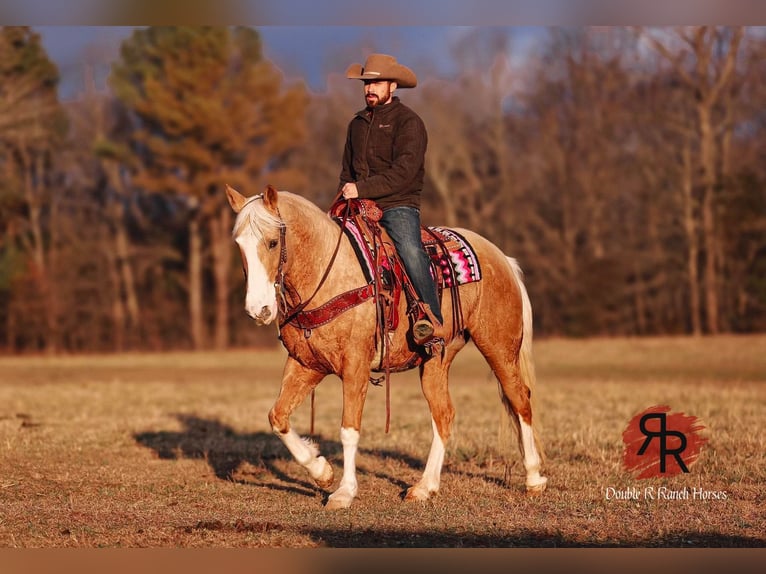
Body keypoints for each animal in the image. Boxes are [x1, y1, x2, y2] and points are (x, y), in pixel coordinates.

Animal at [225, 186, 548, 512]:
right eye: (239, 244)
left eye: (272, 242)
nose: (259, 310)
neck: (328, 274)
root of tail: (502, 258)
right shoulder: (305, 365)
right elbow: (277, 417)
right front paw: (321, 470)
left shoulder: (355, 366)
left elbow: (349, 429)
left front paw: (344, 492)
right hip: (436, 360)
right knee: (444, 414)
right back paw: (425, 487)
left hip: (499, 347)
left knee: (520, 399)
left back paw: (534, 479)